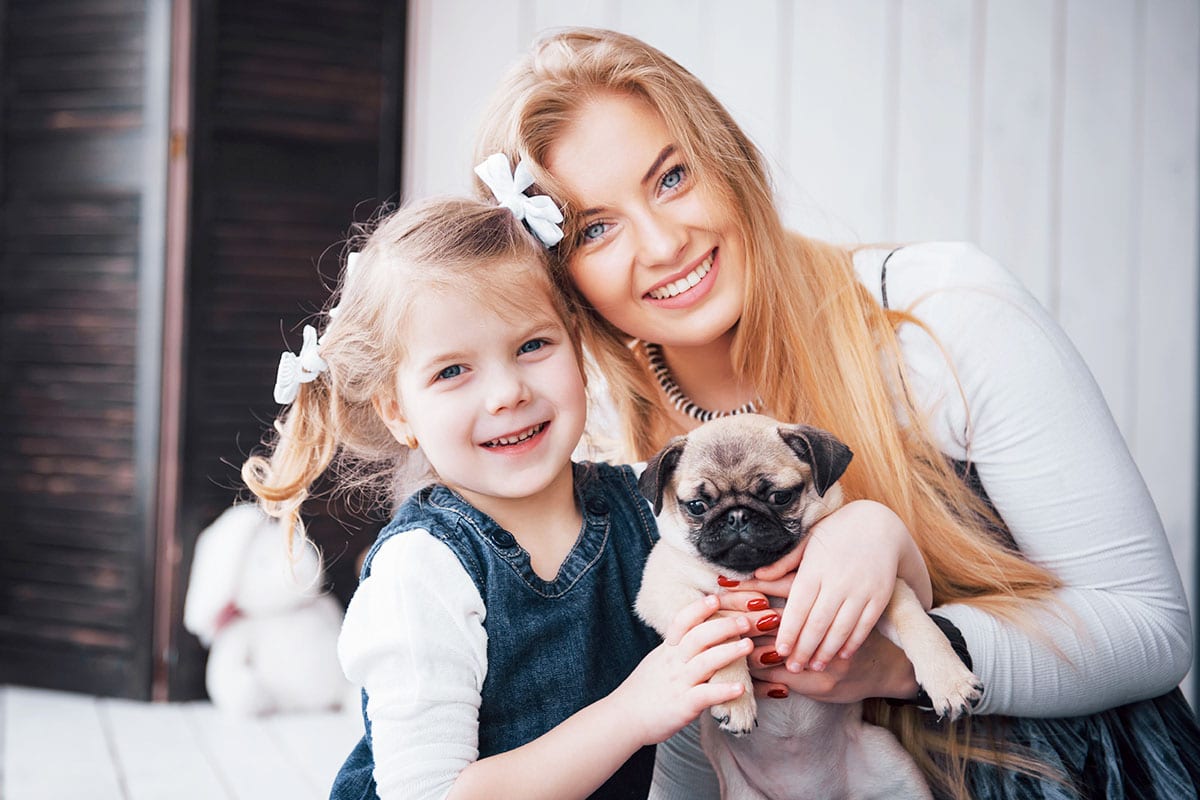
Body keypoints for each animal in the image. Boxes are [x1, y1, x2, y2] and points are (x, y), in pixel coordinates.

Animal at [635, 414, 982, 800]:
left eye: (780, 496)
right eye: (697, 506)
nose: (737, 516)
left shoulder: (878, 590)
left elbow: (918, 624)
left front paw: (949, 680)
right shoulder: (664, 588)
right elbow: (720, 626)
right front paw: (734, 699)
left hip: (896, 768)